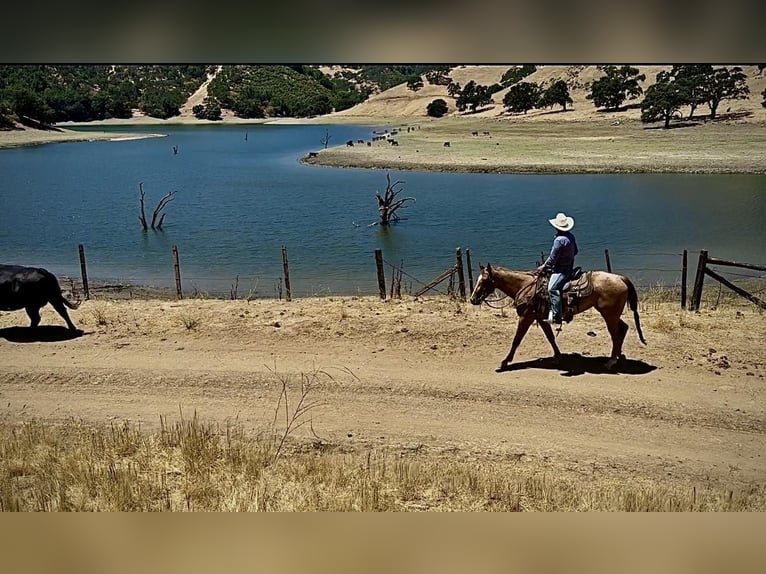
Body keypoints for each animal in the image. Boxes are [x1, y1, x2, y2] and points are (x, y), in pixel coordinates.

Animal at [468, 264, 648, 372]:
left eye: (484, 281)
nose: (472, 299)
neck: (525, 286)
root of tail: (620, 278)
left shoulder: (526, 317)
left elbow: (516, 339)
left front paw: (505, 361)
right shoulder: (541, 318)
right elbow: (550, 338)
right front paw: (558, 357)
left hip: (609, 314)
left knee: (615, 334)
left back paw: (611, 362)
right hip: (612, 314)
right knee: (623, 329)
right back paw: (619, 358)